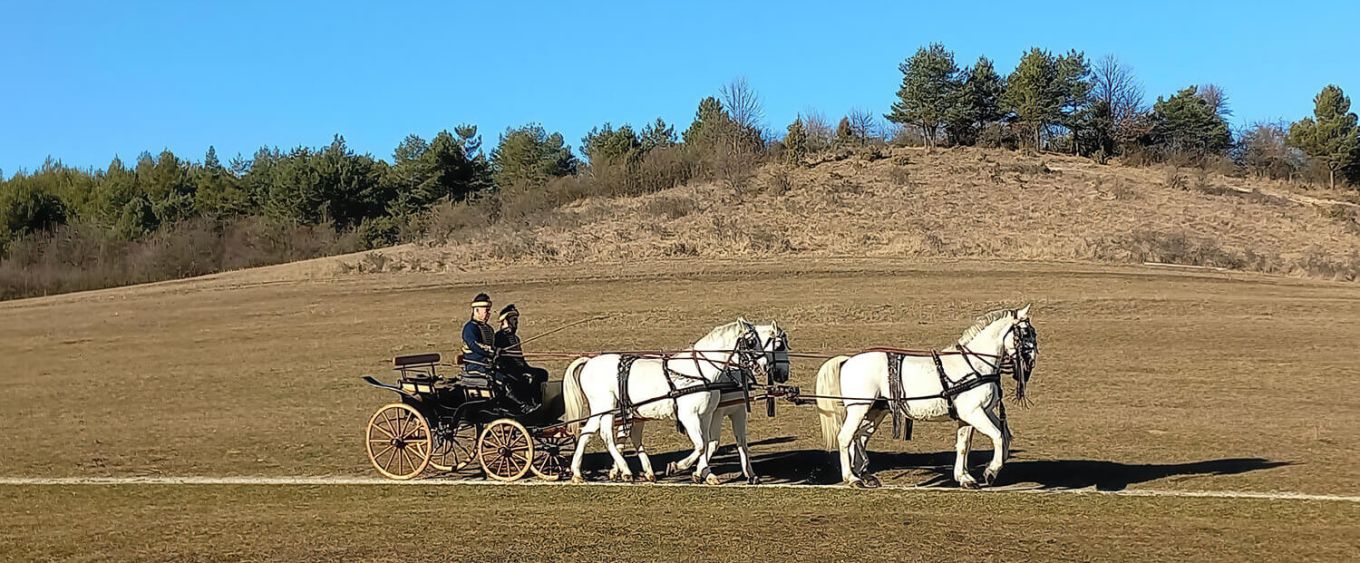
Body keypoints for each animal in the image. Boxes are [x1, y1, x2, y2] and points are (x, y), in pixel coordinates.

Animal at [563, 320, 794, 484]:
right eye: (752, 342)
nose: (781, 373)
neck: (703, 371)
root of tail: (589, 361)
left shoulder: (709, 414)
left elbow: (713, 443)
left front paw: (707, 473)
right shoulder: (691, 415)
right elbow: (702, 445)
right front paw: (680, 466)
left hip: (619, 410)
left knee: (592, 433)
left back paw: (583, 472)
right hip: (606, 407)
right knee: (605, 435)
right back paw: (623, 470)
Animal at [810, 305, 1033, 486]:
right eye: (1025, 332)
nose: (1030, 362)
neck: (975, 364)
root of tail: (848, 359)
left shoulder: (974, 414)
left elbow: (976, 442)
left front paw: (965, 477)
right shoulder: (973, 413)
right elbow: (997, 436)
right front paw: (991, 472)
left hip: (875, 410)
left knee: (860, 437)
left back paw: (864, 473)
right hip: (859, 408)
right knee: (846, 437)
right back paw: (852, 478)